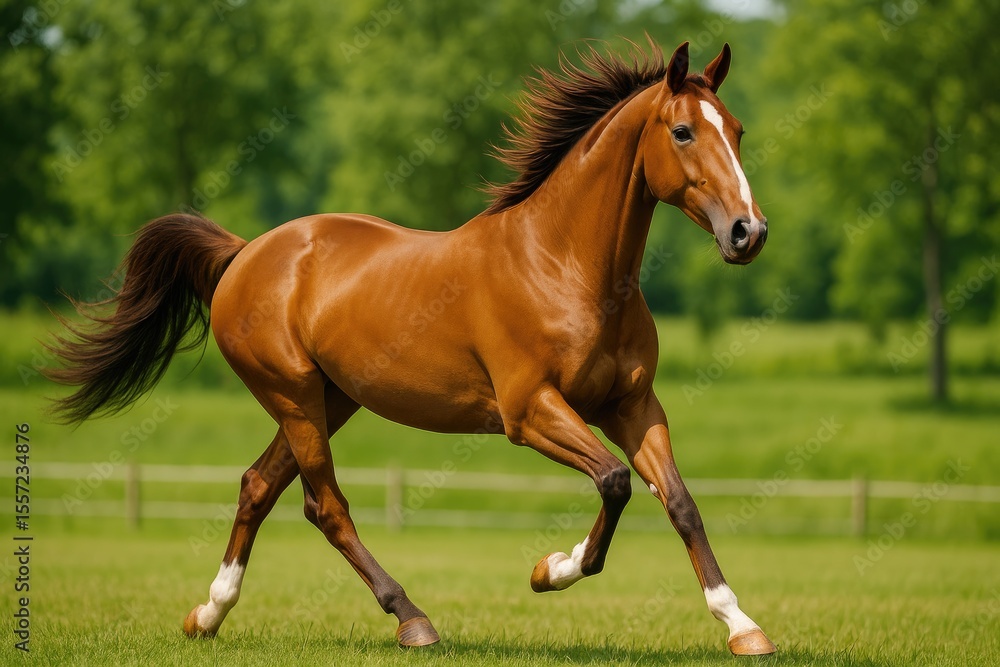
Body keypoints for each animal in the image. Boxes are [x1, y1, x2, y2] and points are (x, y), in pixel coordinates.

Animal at [47, 40, 775, 655]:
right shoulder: (529, 410)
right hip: (293, 395)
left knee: (258, 485)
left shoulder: (633, 406)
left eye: (738, 130)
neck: (564, 267)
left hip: (330, 398)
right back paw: (413, 619)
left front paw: (742, 625)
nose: (749, 232)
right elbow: (615, 481)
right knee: (325, 505)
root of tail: (245, 253)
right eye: (683, 131)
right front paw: (549, 570)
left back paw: (208, 613)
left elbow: (679, 502)